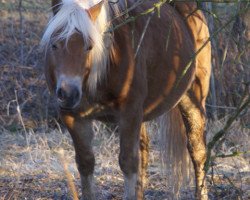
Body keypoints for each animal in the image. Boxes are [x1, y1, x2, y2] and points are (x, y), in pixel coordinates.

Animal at [40, 0, 211, 199]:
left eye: (89, 47)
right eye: (54, 45)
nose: (68, 93)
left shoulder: (129, 113)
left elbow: (128, 163)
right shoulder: (73, 117)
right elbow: (85, 163)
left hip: (193, 99)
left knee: (197, 151)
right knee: (144, 152)